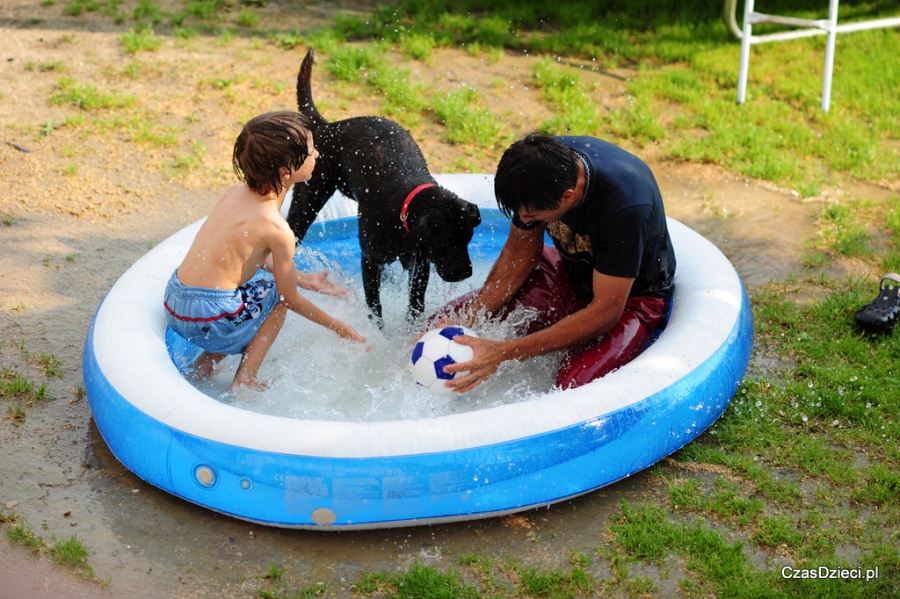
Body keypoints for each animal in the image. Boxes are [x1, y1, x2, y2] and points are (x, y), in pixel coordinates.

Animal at [290, 49, 486, 326]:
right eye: (445, 242)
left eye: (468, 238)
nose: (466, 273)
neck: (404, 205)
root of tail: (329, 127)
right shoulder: (370, 261)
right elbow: (375, 306)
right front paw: (380, 332)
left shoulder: (421, 265)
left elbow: (415, 303)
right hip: (307, 203)